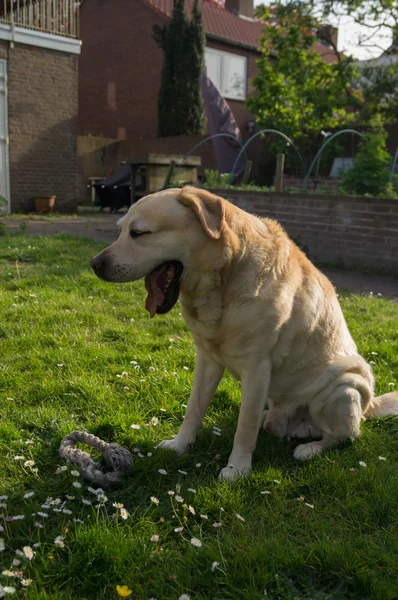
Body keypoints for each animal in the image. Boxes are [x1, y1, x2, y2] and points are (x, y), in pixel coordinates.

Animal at [91, 185, 398, 480]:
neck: (222, 282)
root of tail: (369, 407)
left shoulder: (257, 367)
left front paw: (237, 469)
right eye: (120, 230)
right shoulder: (207, 360)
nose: (94, 264)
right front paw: (179, 446)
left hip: (343, 387)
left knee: (344, 435)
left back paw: (310, 448)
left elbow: (245, 427)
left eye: (138, 233)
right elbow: (194, 409)